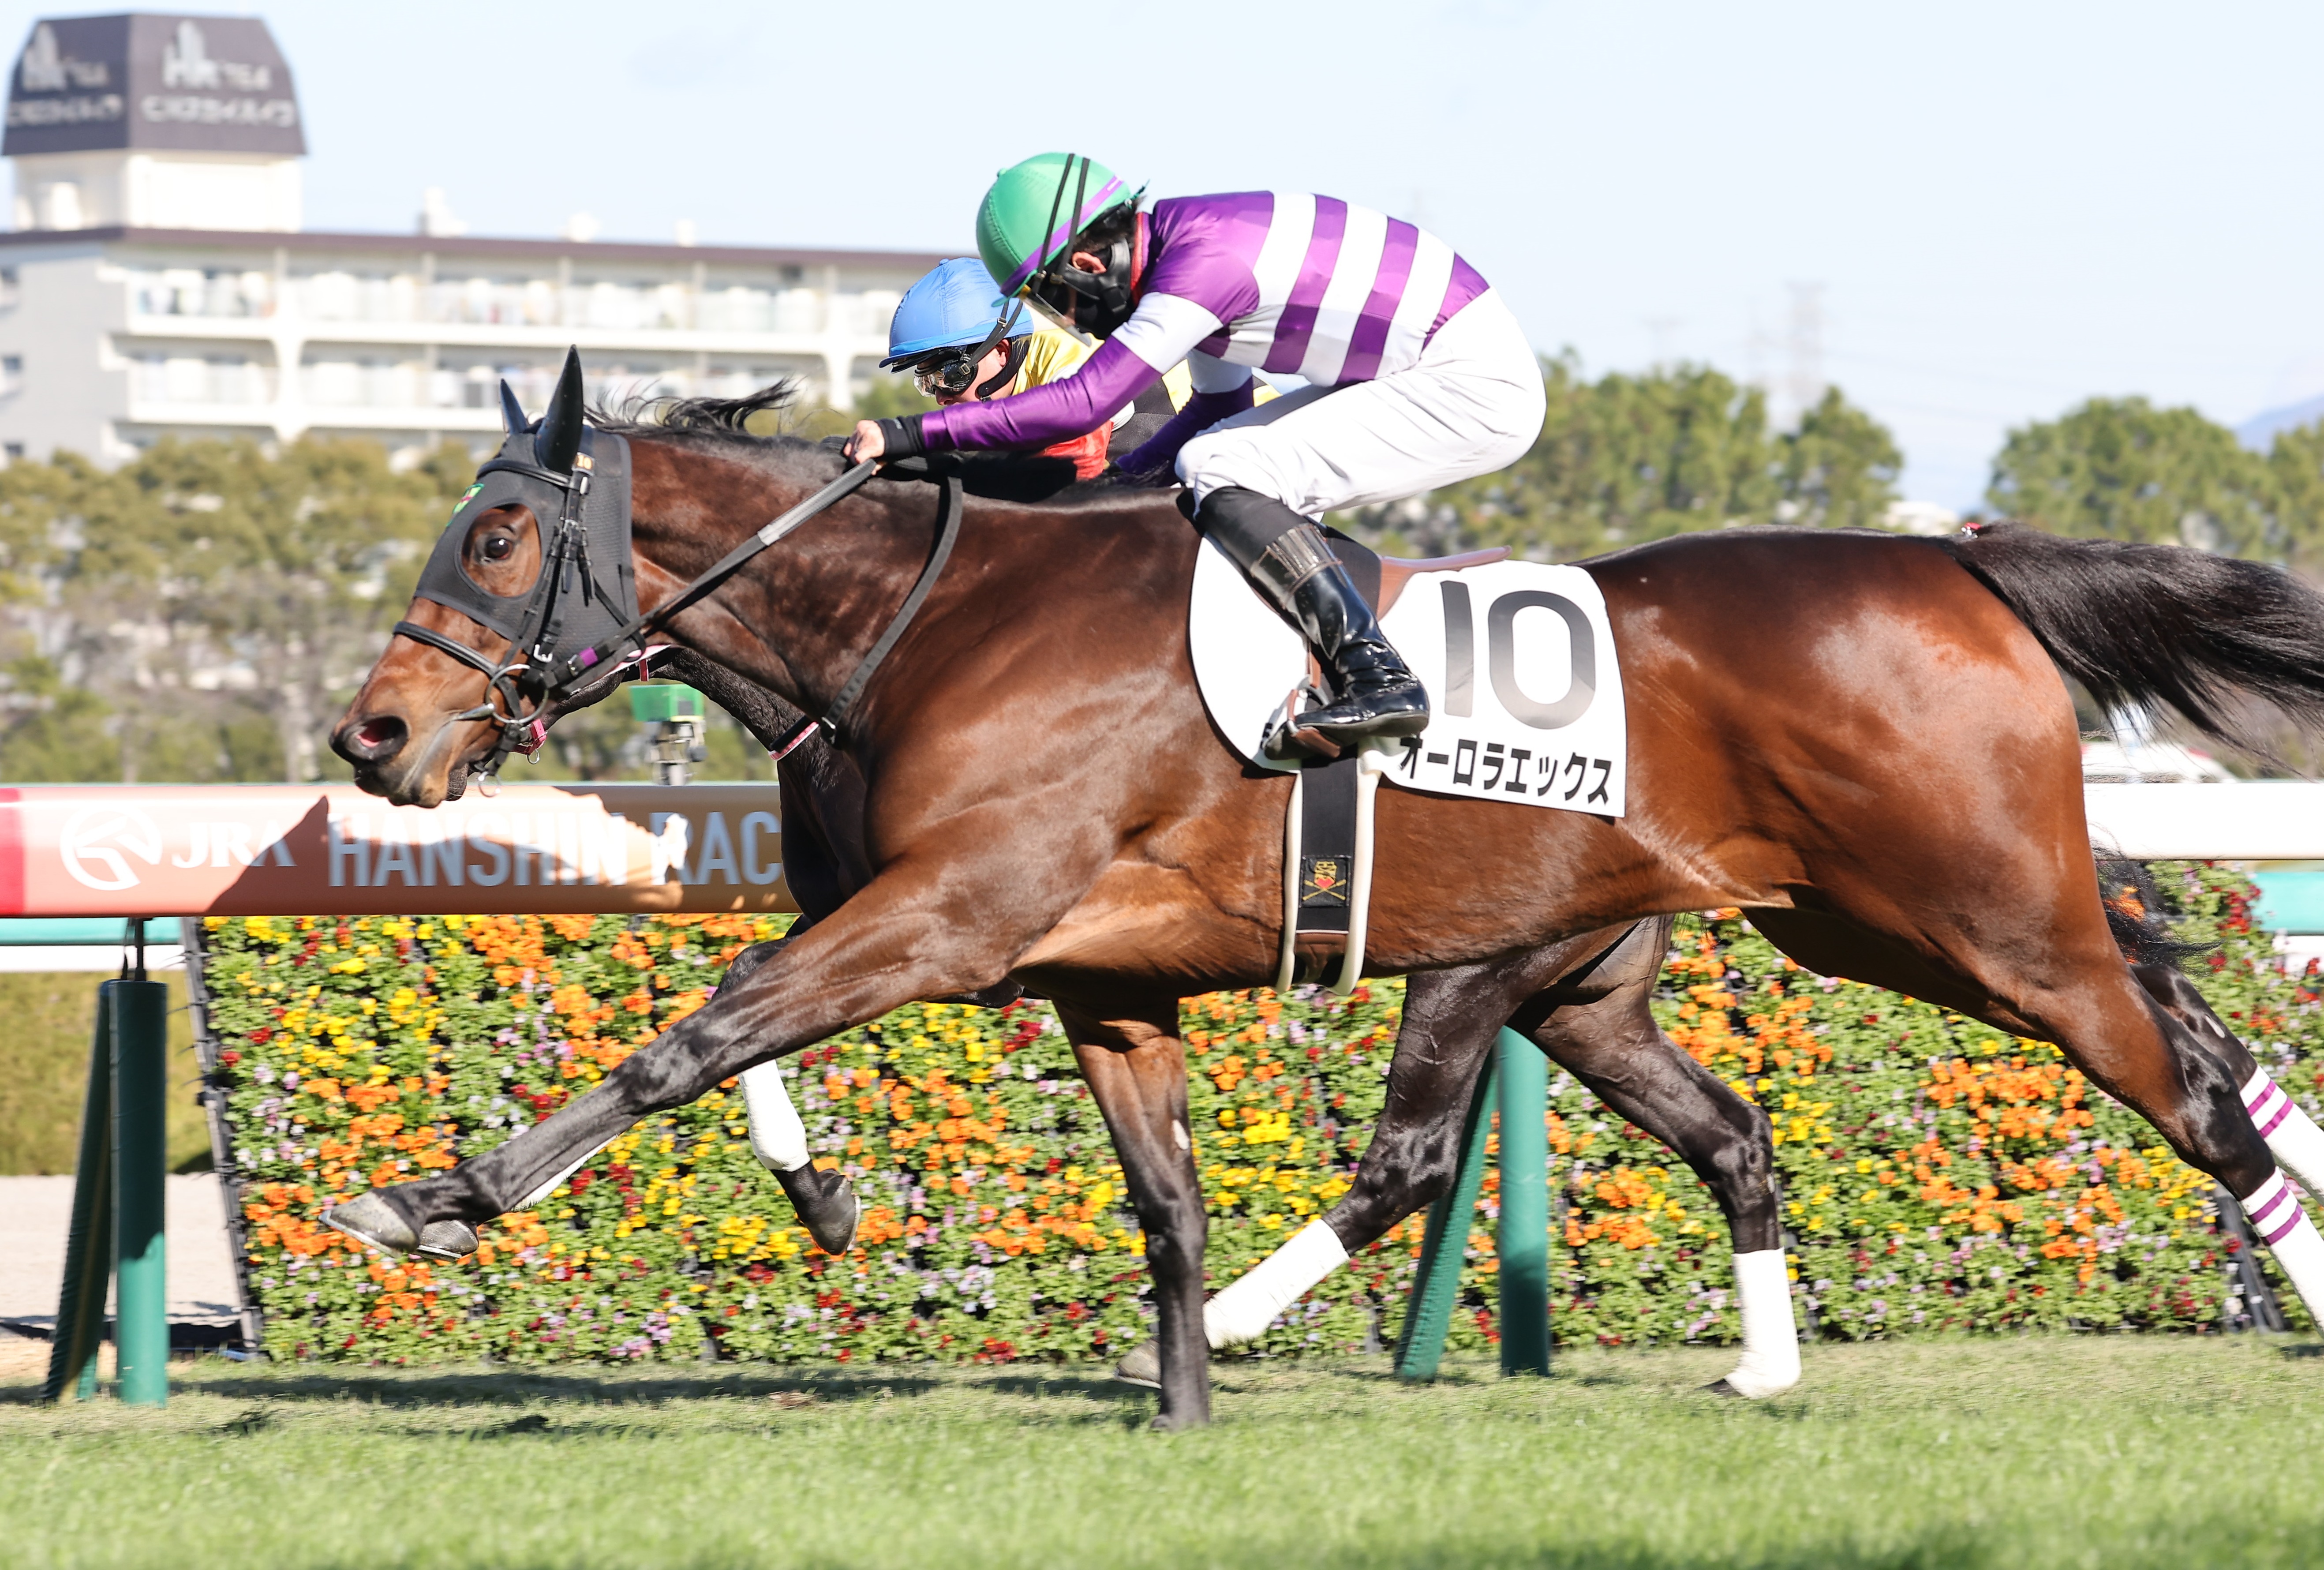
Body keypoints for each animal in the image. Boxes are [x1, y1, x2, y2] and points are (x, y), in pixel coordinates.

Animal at [323, 358, 2324, 1426]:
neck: (931, 619)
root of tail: (1956, 560)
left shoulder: (951, 913)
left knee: (2199, 1092)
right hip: (1722, 942)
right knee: (1769, 1122)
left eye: (495, 534)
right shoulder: (1086, 971)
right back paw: (1760, 1370)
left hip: (1983, 919)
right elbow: (1160, 1194)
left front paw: (435, 1195)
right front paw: (1178, 1397)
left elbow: (698, 1034)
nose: (374, 731)